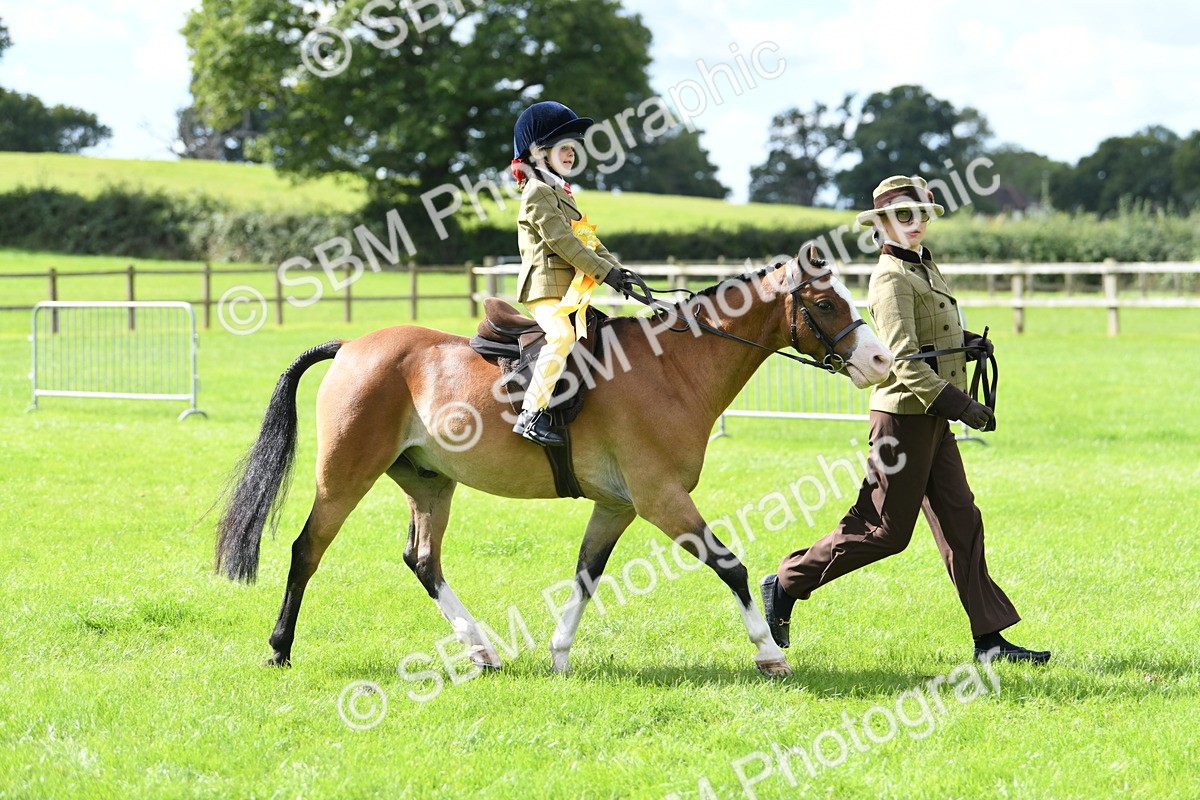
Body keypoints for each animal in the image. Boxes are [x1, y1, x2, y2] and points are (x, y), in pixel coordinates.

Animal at [214, 252, 894, 678]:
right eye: (827, 304)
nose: (881, 361)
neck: (672, 368)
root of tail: (352, 345)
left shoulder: (618, 506)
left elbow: (586, 576)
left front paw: (560, 654)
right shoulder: (661, 499)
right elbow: (730, 564)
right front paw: (769, 653)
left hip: (429, 483)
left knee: (423, 560)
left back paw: (483, 651)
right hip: (344, 476)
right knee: (307, 549)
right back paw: (279, 649)